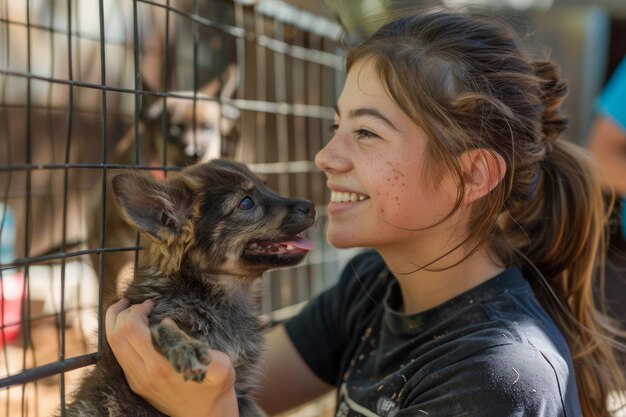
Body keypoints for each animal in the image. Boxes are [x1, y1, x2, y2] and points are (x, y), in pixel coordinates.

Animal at [62, 158, 312, 414]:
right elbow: (163, 326)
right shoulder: (153, 312)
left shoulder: (243, 397)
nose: (311, 206)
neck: (213, 291)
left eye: (267, 188)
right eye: (246, 203)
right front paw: (186, 348)